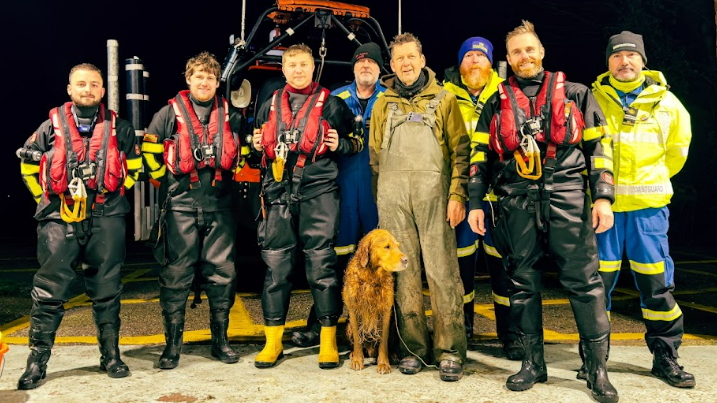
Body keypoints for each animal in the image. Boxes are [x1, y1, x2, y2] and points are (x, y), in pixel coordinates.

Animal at [342, 229, 406, 374]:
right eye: (387, 247)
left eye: (398, 246)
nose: (406, 260)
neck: (371, 277)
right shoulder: (353, 310)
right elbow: (358, 339)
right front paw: (357, 360)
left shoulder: (386, 310)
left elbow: (383, 341)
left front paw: (383, 363)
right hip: (348, 326)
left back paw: (393, 355)